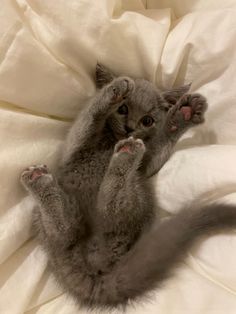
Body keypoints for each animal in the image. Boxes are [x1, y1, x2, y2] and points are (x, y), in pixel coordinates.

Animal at [19, 63, 236, 310]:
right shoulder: (74, 147)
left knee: (102, 210)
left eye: (147, 120)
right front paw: (116, 89)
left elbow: (158, 144)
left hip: (136, 194)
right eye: (122, 109)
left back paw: (123, 157)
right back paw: (40, 178)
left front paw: (182, 115)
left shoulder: (145, 167)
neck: (110, 141)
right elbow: (88, 118)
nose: (130, 128)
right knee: (68, 230)